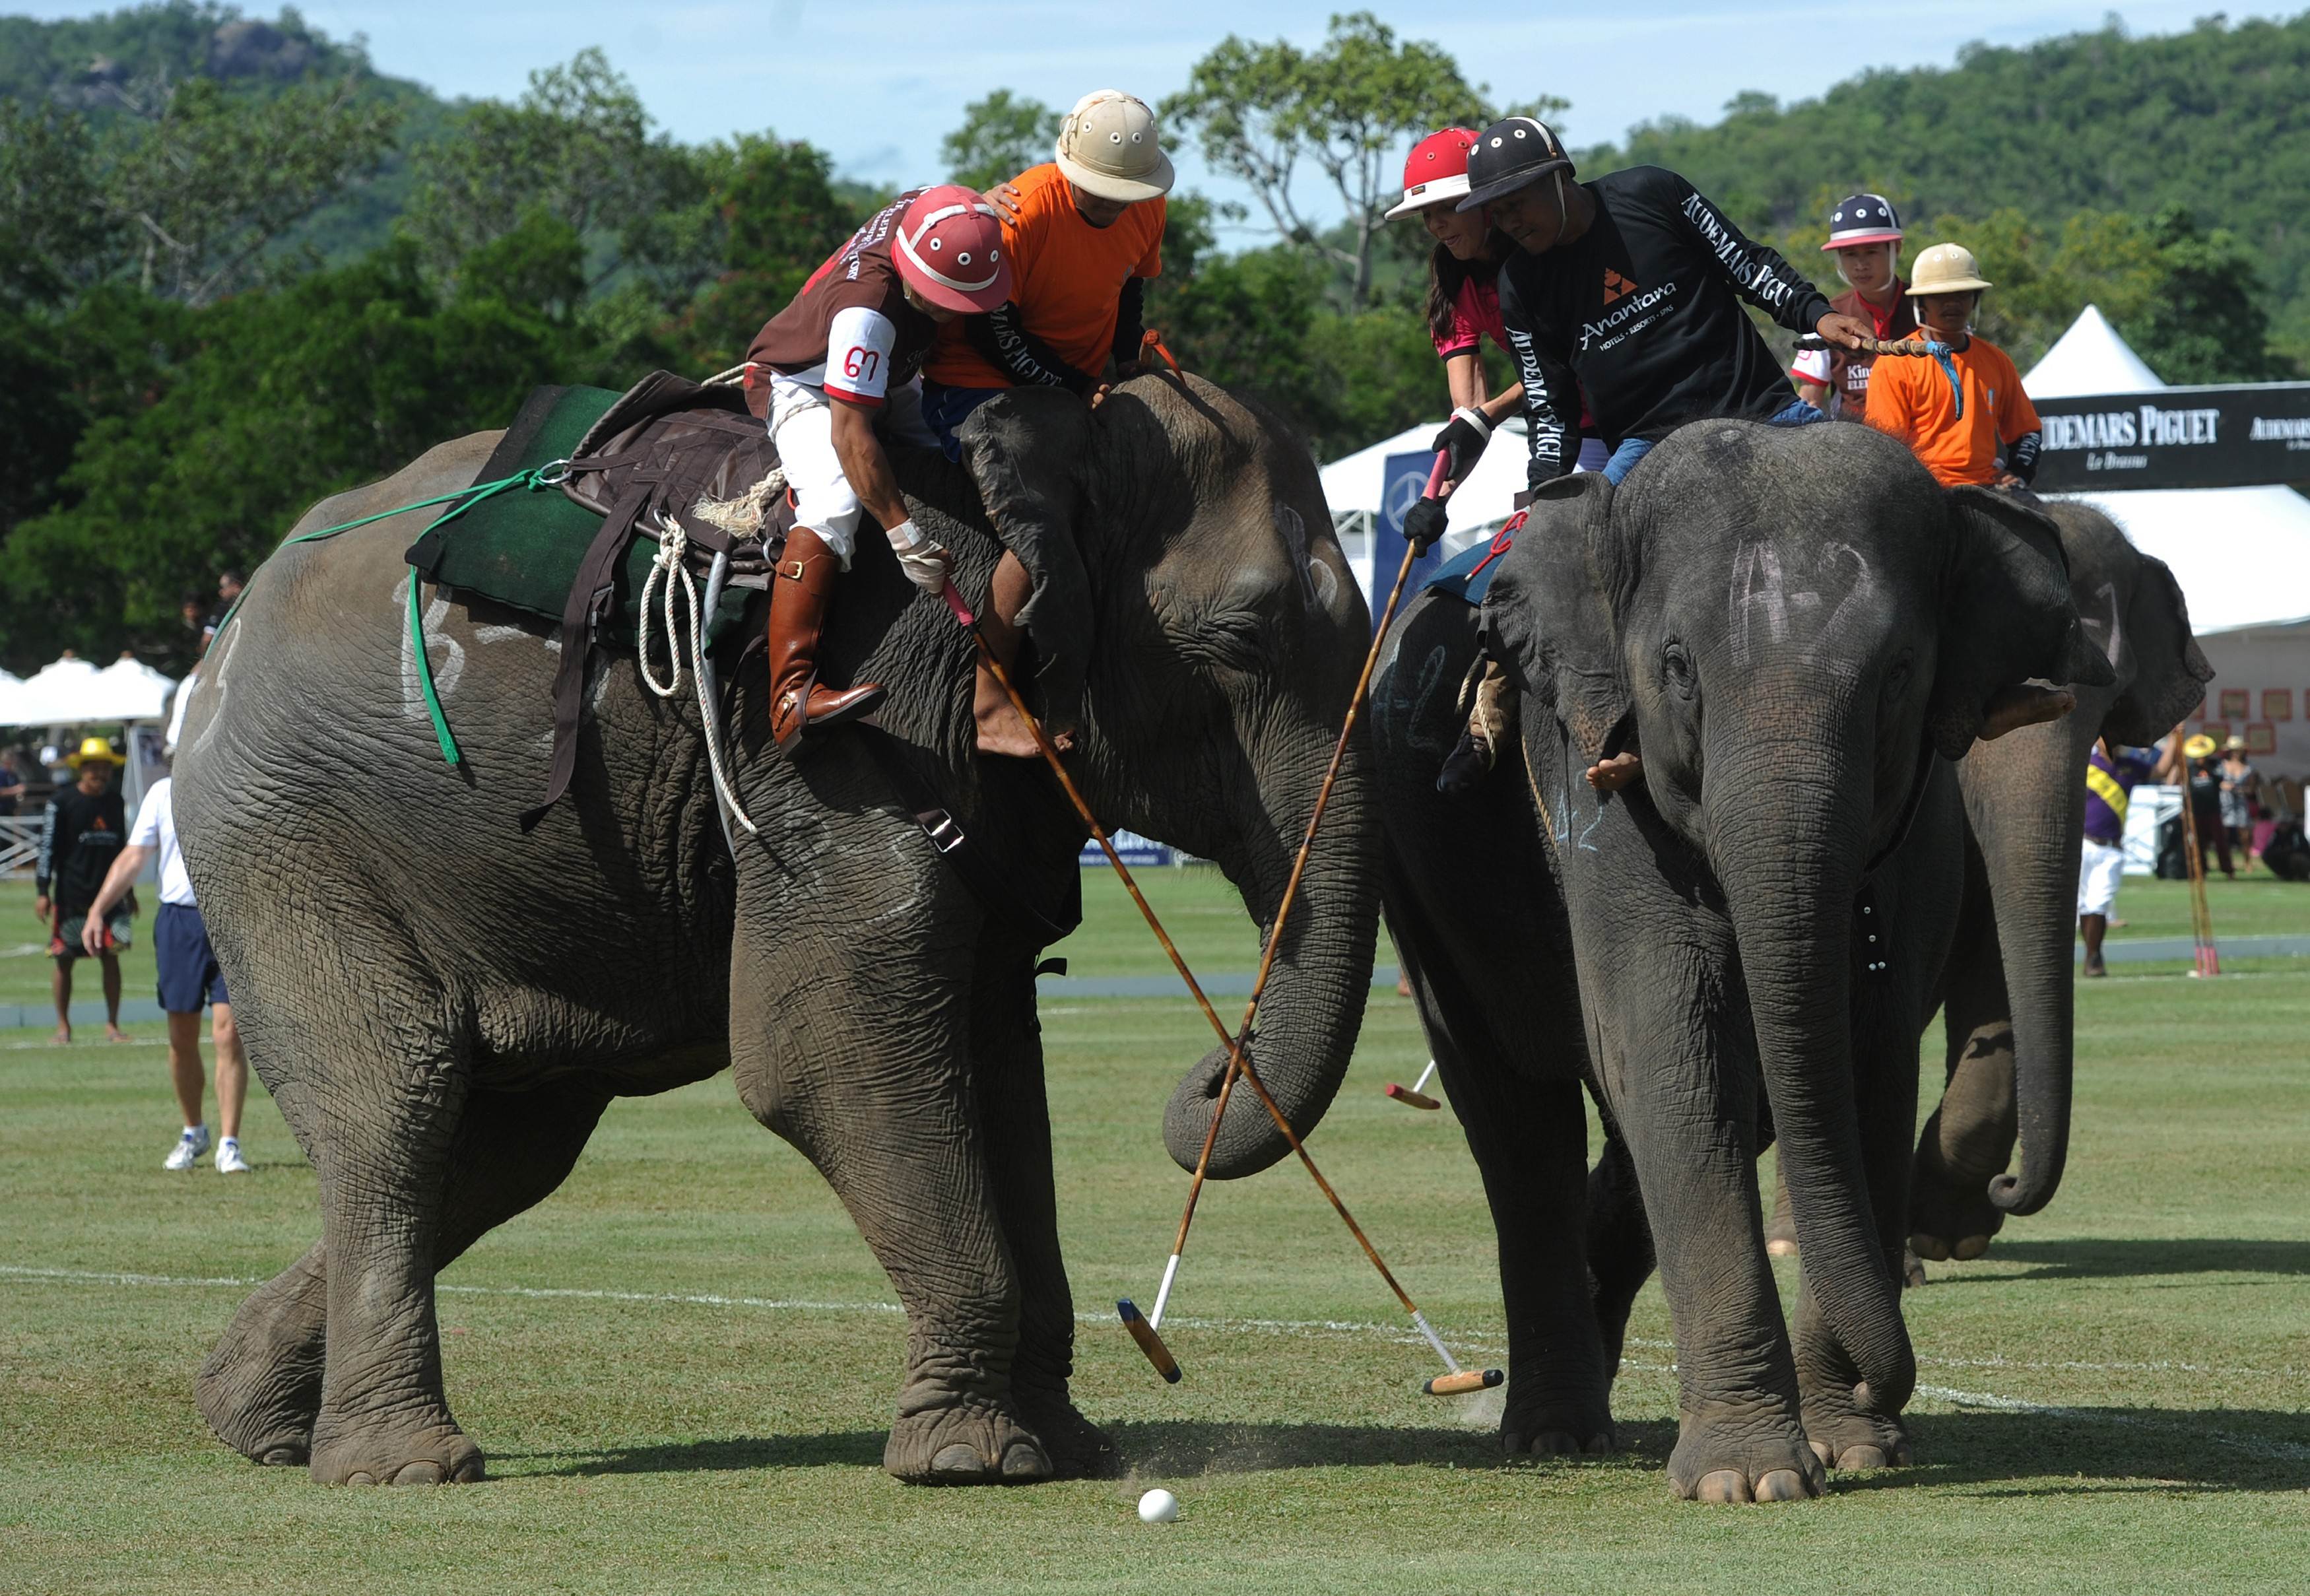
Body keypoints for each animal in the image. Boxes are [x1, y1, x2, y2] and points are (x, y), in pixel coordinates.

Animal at [176, 374, 1386, 1487]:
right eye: (1243, 635)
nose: (1208, 1077)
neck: (1043, 437)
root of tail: (222, 636)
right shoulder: (858, 728)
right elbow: (828, 1051)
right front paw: (972, 1456)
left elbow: (999, 1058)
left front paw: (1068, 1447)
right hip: (288, 835)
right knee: (400, 1105)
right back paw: (402, 1465)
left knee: (506, 1148)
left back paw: (249, 1417)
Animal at [1368, 418, 2116, 1506]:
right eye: (1677, 665)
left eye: (1899, 671)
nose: (1890, 1387)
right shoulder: (1591, 781)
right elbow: (1671, 1046)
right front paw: (1748, 1479)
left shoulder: (1917, 833)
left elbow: (1861, 1068)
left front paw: (1848, 1446)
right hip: (1421, 876)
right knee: (1515, 1118)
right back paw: (1554, 1431)